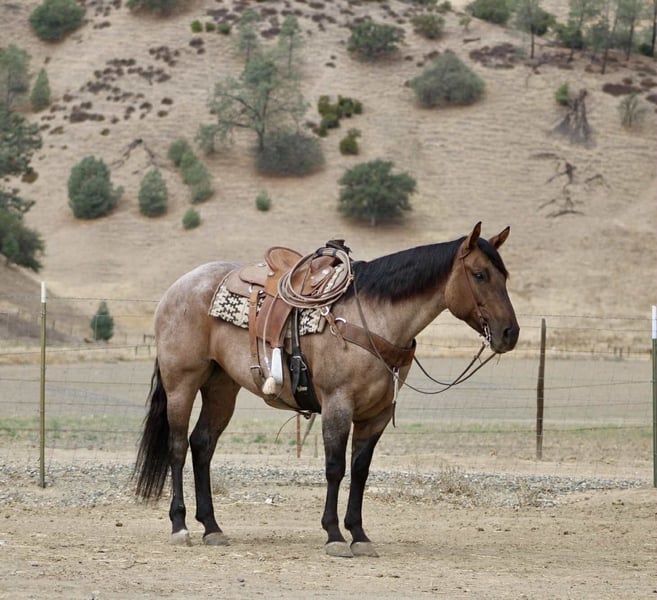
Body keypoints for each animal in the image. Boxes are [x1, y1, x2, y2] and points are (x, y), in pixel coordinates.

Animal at [134, 222, 519, 557]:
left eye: (504, 275)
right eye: (480, 274)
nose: (509, 333)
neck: (373, 319)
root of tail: (176, 289)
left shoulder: (376, 415)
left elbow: (360, 470)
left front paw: (359, 535)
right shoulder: (338, 405)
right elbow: (335, 467)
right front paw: (334, 535)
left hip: (221, 387)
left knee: (202, 445)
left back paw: (212, 527)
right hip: (182, 382)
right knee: (178, 447)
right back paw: (180, 526)